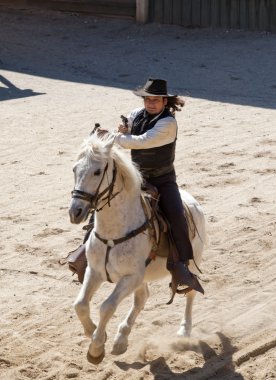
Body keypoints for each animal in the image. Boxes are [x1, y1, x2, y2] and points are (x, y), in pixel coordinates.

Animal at [69, 133, 207, 362]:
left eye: (97, 171)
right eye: (74, 169)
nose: (75, 212)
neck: (114, 232)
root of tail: (194, 202)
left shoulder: (131, 276)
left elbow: (107, 306)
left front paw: (96, 347)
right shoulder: (95, 270)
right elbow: (80, 304)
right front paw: (95, 333)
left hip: (192, 263)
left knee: (190, 292)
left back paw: (184, 331)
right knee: (142, 299)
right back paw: (121, 340)